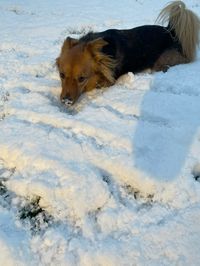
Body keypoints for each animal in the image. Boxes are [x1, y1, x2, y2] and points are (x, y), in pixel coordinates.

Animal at [56, 1, 200, 105]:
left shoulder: (108, 81)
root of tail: (171, 32)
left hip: (162, 62)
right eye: (61, 75)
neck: (104, 53)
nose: (65, 101)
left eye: (82, 78)